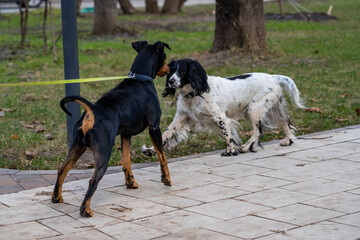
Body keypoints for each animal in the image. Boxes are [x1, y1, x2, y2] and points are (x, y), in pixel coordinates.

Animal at [51, 40, 173, 218]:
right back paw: (85, 209)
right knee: (93, 180)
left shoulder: (125, 134)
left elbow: (127, 161)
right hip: (103, 153)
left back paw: (56, 197)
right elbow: (162, 155)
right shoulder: (154, 127)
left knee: (62, 170)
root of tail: (91, 111)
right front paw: (166, 179)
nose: (169, 69)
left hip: (77, 147)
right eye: (164, 56)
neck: (140, 77)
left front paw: (130, 183)